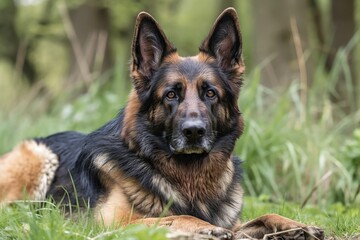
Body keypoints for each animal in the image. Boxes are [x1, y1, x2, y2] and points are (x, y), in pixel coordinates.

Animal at [0, 7, 324, 240]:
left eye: (210, 93)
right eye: (171, 94)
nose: (194, 132)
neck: (189, 176)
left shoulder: (235, 224)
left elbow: (263, 217)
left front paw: (294, 225)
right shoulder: (115, 222)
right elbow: (170, 216)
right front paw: (200, 226)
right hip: (40, 157)